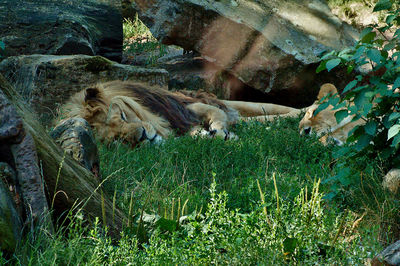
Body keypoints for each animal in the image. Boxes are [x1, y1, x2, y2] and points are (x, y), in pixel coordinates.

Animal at [61, 81, 302, 148]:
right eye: (116, 139)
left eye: (121, 116)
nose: (143, 136)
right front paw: (208, 136)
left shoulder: (187, 108)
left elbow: (216, 115)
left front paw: (219, 132)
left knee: (268, 109)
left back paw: (306, 112)